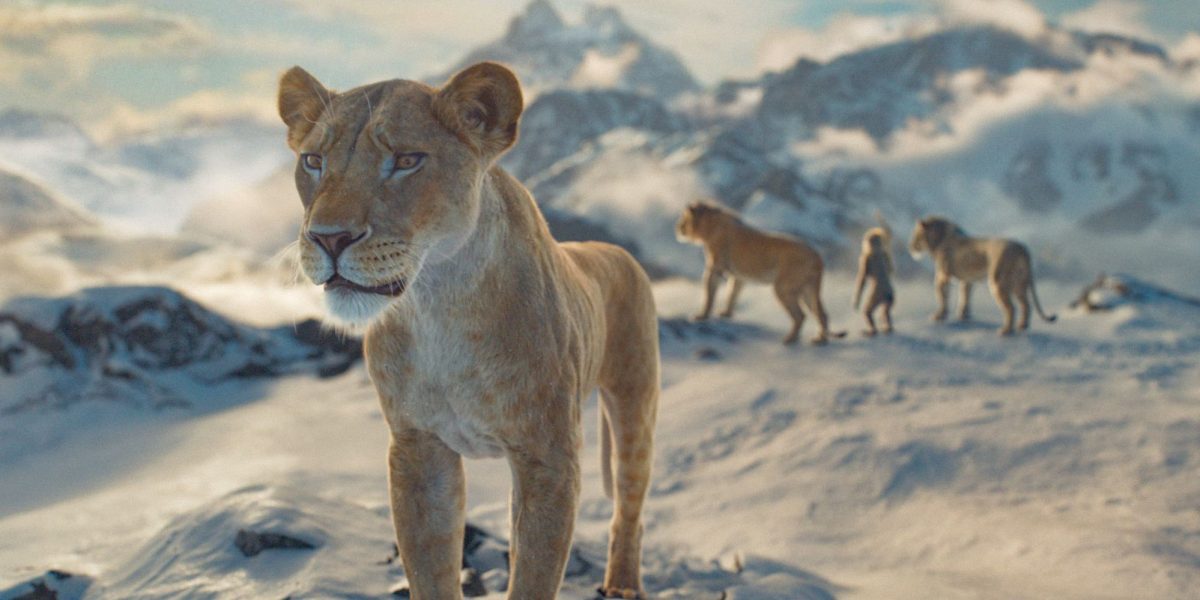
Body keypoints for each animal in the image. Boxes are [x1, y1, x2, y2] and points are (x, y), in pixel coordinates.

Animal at [278, 62, 659, 599]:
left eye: (407, 160)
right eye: (313, 160)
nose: (328, 238)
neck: (439, 304)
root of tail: (616, 251)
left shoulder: (549, 458)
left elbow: (534, 577)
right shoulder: (417, 449)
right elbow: (431, 570)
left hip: (634, 405)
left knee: (630, 503)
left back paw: (623, 583)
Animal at [675, 201, 845, 345]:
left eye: (683, 219)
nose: (677, 229)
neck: (709, 225)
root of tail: (818, 256)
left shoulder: (714, 269)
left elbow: (709, 293)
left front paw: (701, 316)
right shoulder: (738, 276)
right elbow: (732, 293)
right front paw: (726, 313)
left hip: (783, 287)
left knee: (800, 315)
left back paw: (789, 339)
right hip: (807, 289)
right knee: (822, 314)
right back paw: (819, 340)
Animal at [908, 216, 1057, 335]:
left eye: (916, 235)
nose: (910, 247)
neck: (937, 239)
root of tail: (1022, 247)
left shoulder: (942, 276)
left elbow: (942, 297)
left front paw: (939, 316)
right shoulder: (967, 280)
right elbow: (965, 296)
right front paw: (964, 315)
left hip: (998, 281)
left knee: (1011, 308)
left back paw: (1006, 331)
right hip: (1019, 283)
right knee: (1026, 304)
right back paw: (1022, 326)